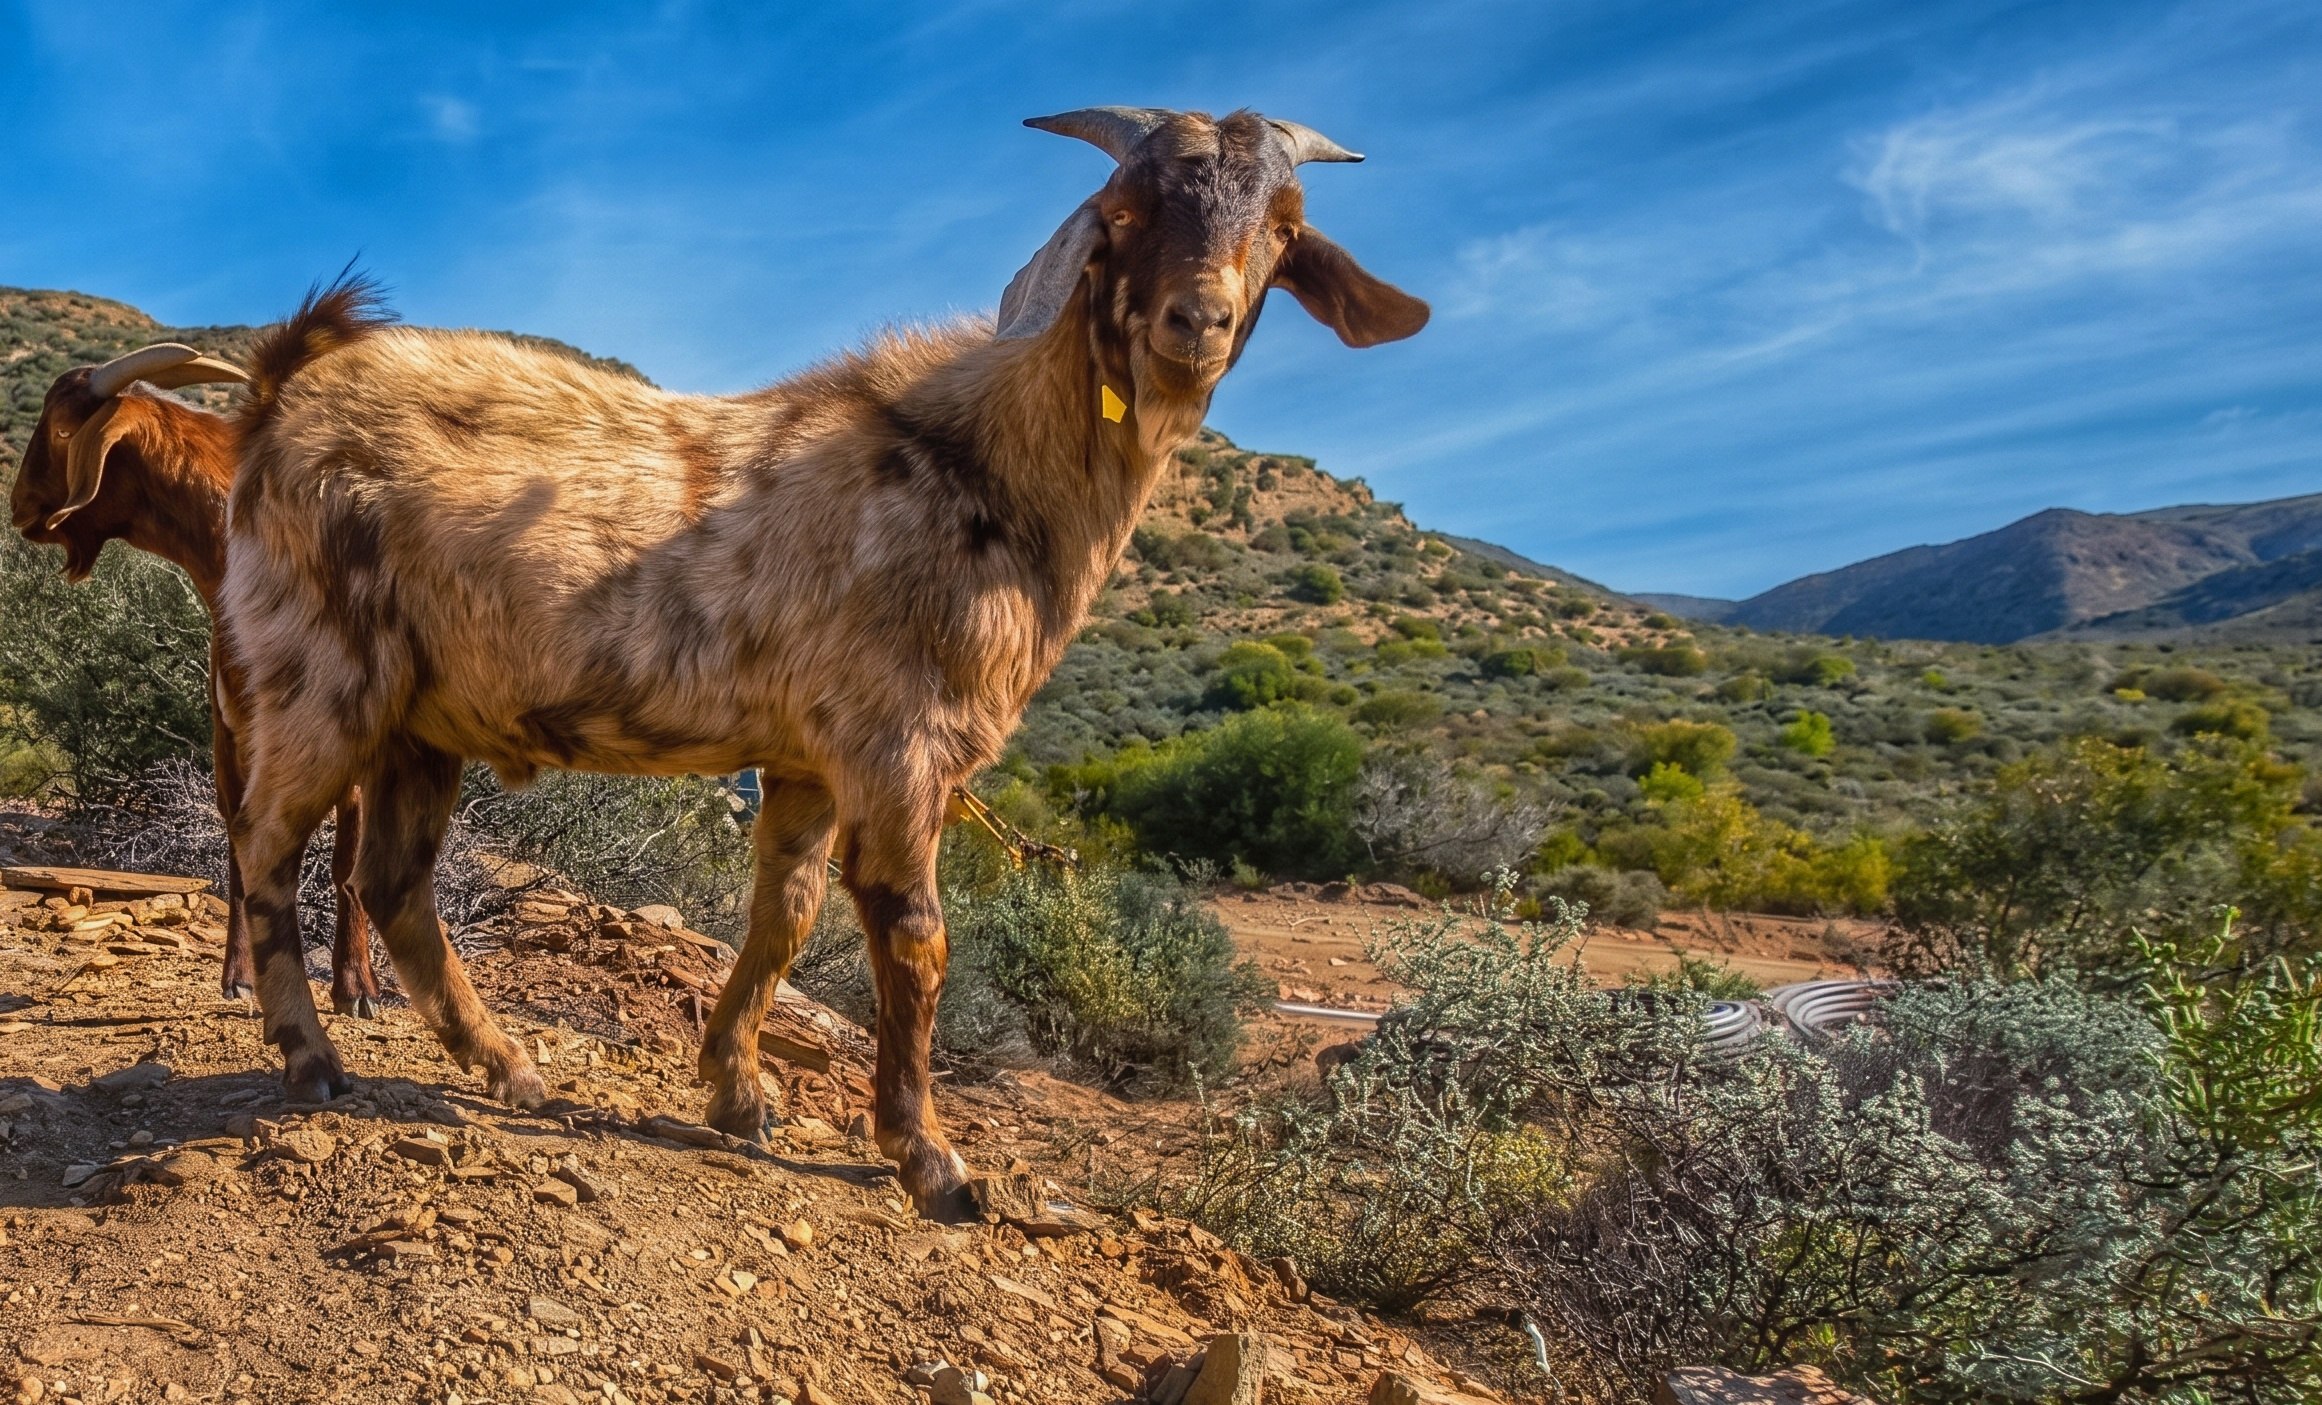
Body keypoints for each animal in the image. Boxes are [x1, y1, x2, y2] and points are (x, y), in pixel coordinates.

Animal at [9, 347, 378, 1015]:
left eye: (63, 430)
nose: (20, 505)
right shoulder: (230, 730)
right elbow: (241, 856)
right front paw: (242, 976)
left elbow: (346, 862)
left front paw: (356, 986)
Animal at [220, 106, 1428, 1217]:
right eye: (1125, 213)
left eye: (1284, 229)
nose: (1197, 321)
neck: (983, 472)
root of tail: (279, 389)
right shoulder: (900, 743)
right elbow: (915, 936)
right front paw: (930, 1157)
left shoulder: (806, 755)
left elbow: (784, 913)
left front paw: (737, 1094)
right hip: (319, 669)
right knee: (266, 840)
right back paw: (314, 1058)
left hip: (423, 716)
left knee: (393, 880)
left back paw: (505, 1066)